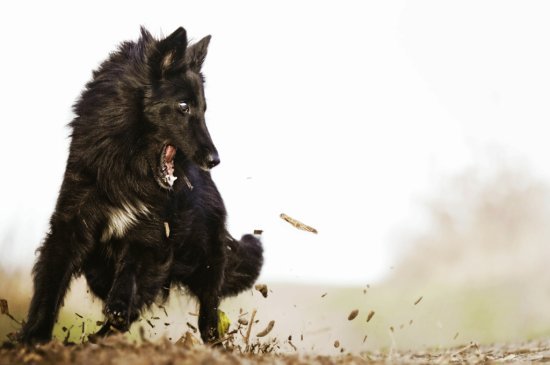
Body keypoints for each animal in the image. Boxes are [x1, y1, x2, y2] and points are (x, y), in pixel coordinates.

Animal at [19, 27, 266, 342]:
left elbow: (130, 274)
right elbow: (50, 285)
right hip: (99, 272)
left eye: (204, 109)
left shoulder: (149, 236)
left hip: (207, 259)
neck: (125, 167)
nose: (215, 160)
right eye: (183, 106)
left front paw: (118, 307)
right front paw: (34, 337)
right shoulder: (71, 225)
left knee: (207, 312)